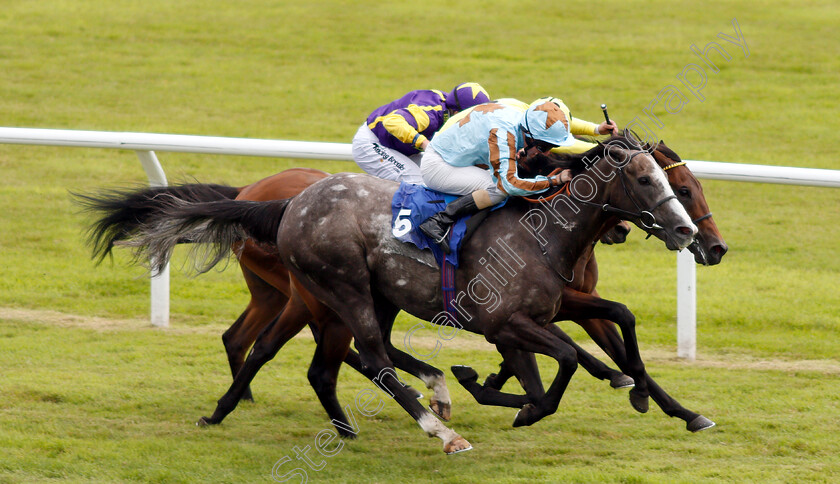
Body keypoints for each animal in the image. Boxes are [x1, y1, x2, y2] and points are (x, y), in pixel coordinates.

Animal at [87, 134, 704, 452]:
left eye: (676, 182)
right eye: (647, 180)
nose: (689, 234)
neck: (540, 231)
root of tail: (288, 202)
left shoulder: (542, 314)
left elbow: (603, 331)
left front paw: (648, 394)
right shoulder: (506, 323)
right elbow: (567, 361)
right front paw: (510, 398)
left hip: (363, 297)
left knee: (343, 361)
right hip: (339, 290)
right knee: (368, 358)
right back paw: (440, 428)